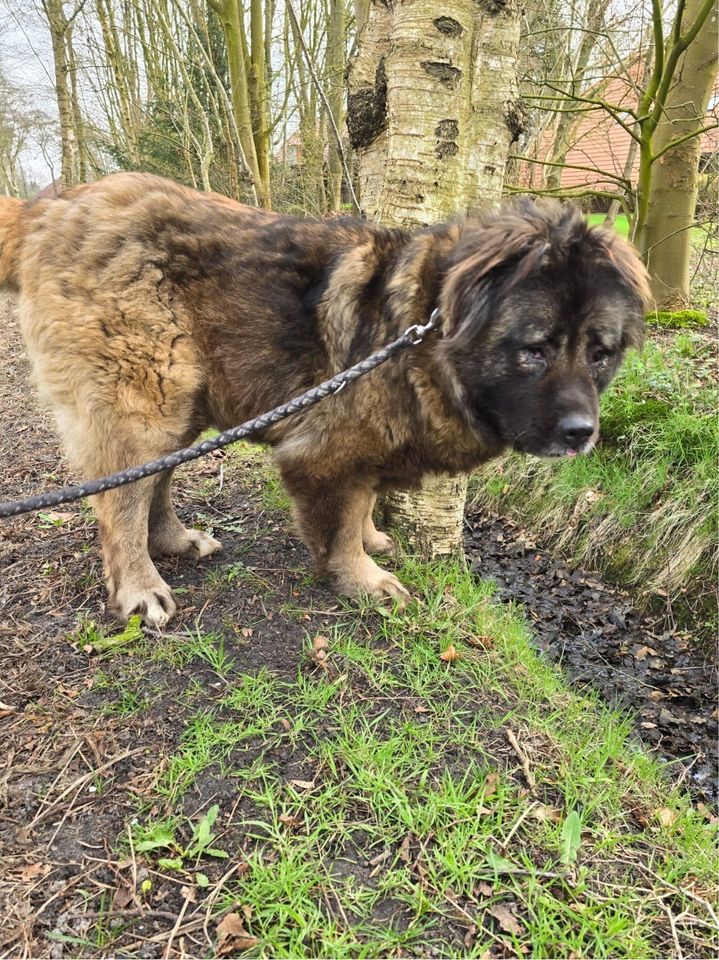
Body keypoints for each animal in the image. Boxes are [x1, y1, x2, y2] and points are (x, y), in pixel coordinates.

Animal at [0, 175, 652, 628]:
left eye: (600, 354)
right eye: (535, 349)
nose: (582, 432)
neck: (419, 326)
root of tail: (51, 206)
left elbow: (363, 507)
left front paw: (372, 541)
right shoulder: (327, 452)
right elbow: (339, 523)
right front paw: (362, 578)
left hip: (179, 404)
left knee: (153, 481)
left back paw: (175, 542)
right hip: (144, 401)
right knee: (121, 502)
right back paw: (139, 586)